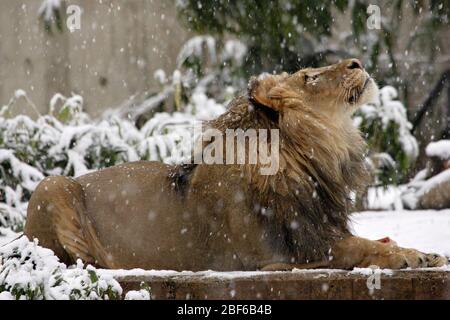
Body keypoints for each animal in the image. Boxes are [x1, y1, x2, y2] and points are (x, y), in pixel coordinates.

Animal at [24, 58, 446, 270]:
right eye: (310, 77)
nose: (357, 61)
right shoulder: (281, 256)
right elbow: (362, 248)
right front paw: (416, 256)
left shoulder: (319, 230)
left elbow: (375, 240)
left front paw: (418, 250)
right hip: (53, 184)